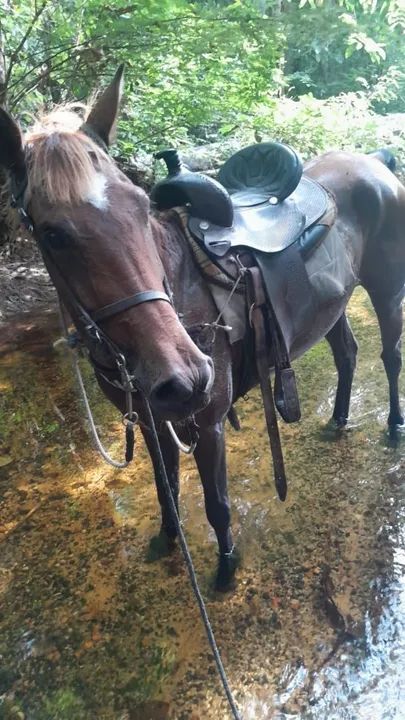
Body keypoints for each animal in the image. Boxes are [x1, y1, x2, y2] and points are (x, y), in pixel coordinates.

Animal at [1, 66, 404, 590]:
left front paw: (226, 567)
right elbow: (166, 488)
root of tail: (375, 161)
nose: (187, 377)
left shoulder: (208, 424)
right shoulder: (150, 422)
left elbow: (217, 506)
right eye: (53, 234)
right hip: (330, 305)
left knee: (390, 357)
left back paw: (394, 425)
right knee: (347, 353)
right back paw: (338, 420)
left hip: (386, 289)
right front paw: (168, 540)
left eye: (140, 206)